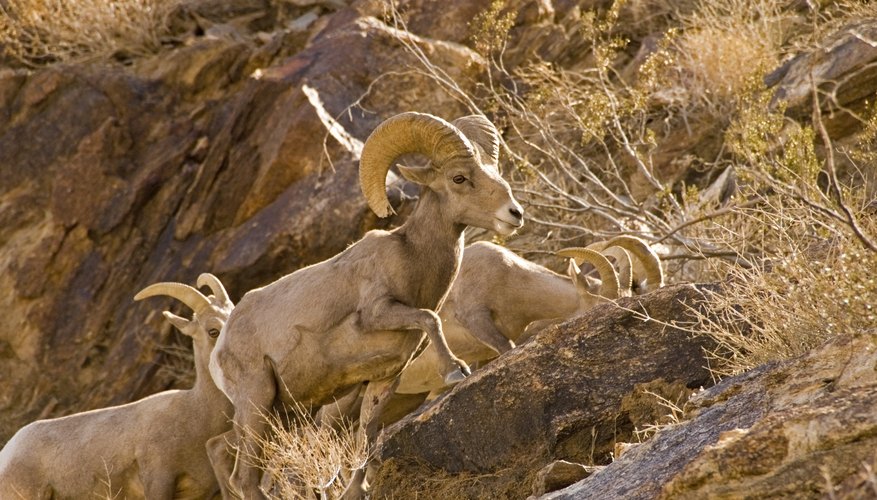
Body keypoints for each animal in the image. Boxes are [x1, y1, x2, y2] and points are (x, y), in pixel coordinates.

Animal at [205, 111, 520, 498]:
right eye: (459, 178)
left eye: (496, 172)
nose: (515, 214)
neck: (411, 259)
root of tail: (219, 349)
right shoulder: (378, 312)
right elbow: (429, 317)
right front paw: (455, 370)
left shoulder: (383, 380)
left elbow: (366, 438)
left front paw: (358, 490)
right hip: (257, 405)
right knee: (245, 479)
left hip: (280, 414)